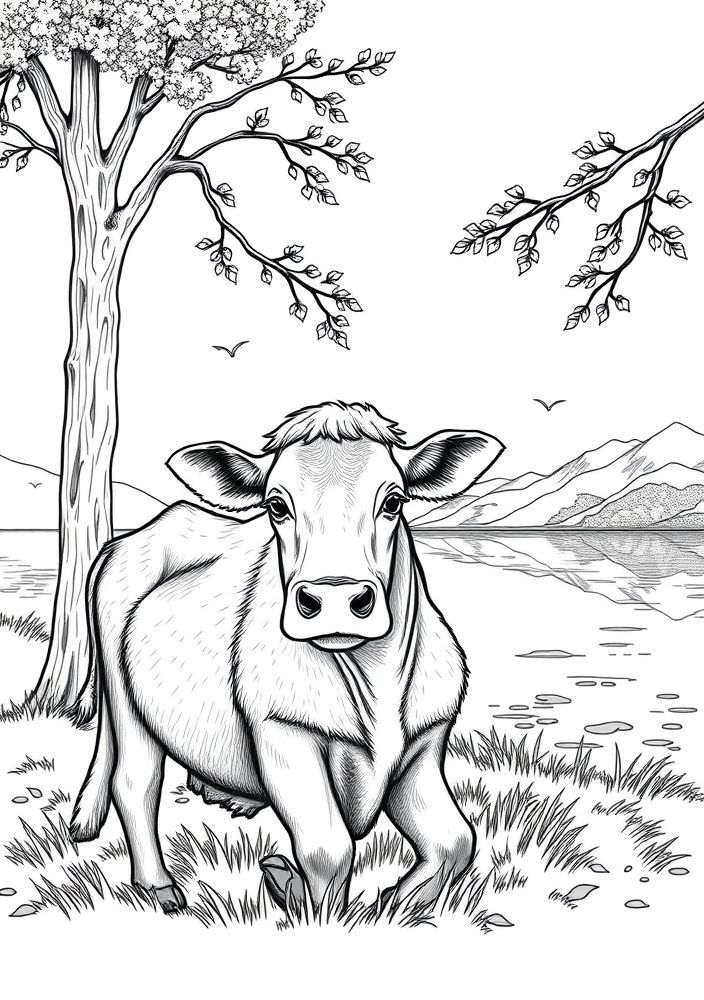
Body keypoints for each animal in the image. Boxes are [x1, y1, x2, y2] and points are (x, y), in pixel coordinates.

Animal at [70, 401, 504, 915]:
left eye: (394, 502)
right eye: (277, 505)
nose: (335, 600)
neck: (375, 679)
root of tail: (129, 540)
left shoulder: (424, 744)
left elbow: (455, 840)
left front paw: (398, 903)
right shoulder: (284, 733)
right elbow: (328, 851)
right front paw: (309, 905)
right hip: (125, 695)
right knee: (135, 782)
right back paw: (159, 886)